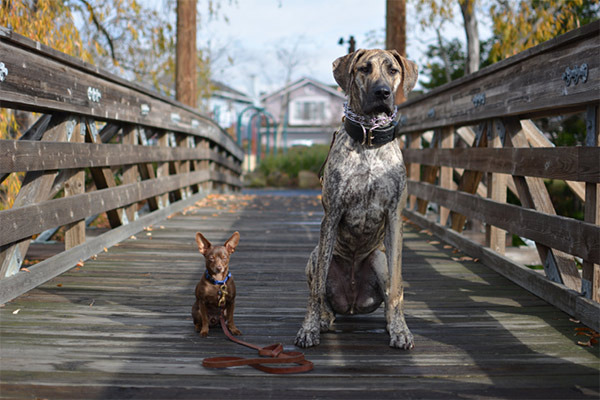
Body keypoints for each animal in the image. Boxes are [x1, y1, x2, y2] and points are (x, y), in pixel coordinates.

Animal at [294, 49, 418, 350]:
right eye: (364, 69)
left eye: (393, 70)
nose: (382, 92)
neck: (369, 140)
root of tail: (351, 302)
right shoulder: (332, 215)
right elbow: (316, 292)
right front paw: (308, 329)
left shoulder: (394, 217)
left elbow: (396, 288)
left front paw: (400, 330)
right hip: (315, 256)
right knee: (322, 293)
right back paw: (323, 318)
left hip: (379, 260)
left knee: (389, 290)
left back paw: (390, 323)